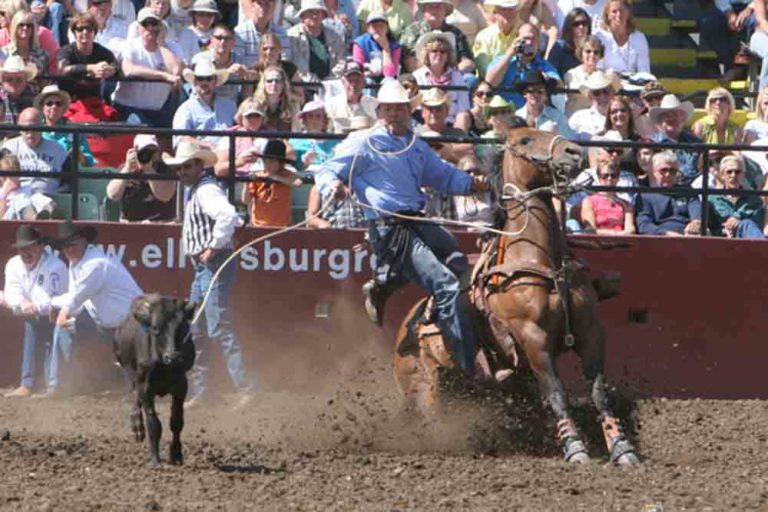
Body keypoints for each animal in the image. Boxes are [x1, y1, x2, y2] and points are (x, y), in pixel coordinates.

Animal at [392, 127, 640, 464]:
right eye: (525, 140)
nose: (574, 151)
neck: (543, 261)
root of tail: (406, 325)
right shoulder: (533, 338)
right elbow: (556, 393)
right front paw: (576, 448)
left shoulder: (590, 331)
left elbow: (599, 392)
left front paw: (622, 447)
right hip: (424, 385)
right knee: (432, 414)